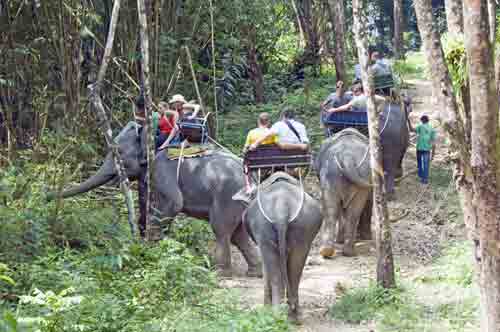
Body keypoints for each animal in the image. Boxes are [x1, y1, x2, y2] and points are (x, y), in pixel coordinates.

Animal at [49, 122, 262, 278]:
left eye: (118, 153)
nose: (47, 195)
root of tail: (253, 180)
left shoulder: (161, 169)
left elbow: (174, 203)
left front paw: (150, 248)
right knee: (238, 234)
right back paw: (253, 273)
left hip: (227, 196)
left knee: (222, 230)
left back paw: (220, 273)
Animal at [243, 175, 324, 322]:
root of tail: (282, 206)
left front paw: (266, 309)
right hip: (303, 226)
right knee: (296, 267)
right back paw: (294, 315)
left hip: (263, 227)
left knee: (274, 269)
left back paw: (277, 314)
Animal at [314, 128, 374, 258]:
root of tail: (347, 157)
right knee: (349, 212)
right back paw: (345, 251)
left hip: (331, 175)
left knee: (334, 210)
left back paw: (330, 251)